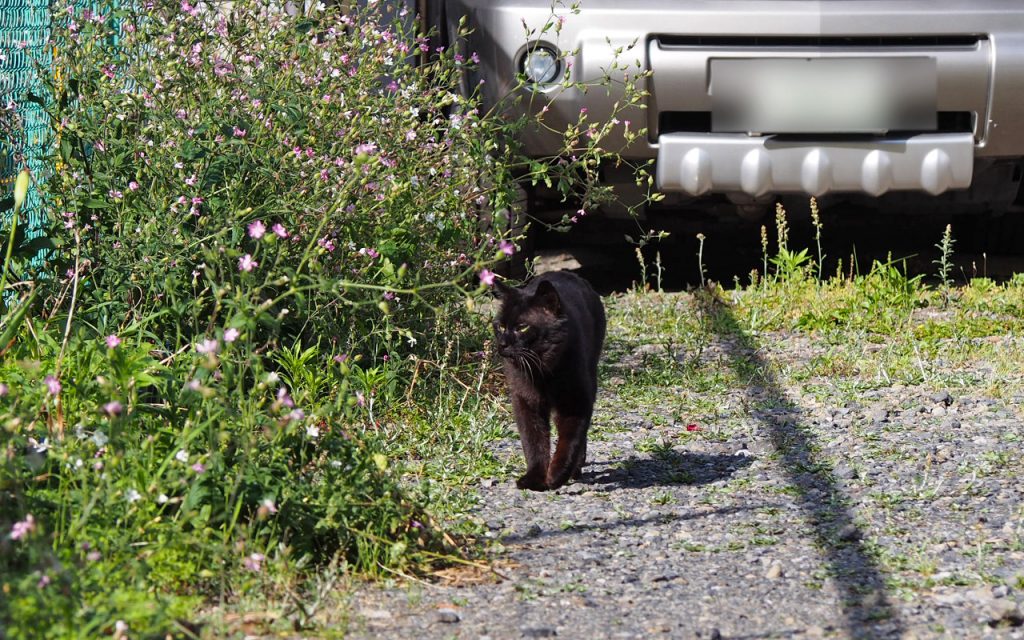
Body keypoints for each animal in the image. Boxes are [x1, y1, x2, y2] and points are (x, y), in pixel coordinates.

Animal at [491, 270, 602, 489]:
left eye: (522, 327)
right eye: (500, 326)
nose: (502, 344)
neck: (542, 372)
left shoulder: (575, 400)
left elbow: (570, 440)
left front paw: (557, 475)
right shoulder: (525, 401)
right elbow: (533, 440)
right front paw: (534, 478)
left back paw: (576, 468)